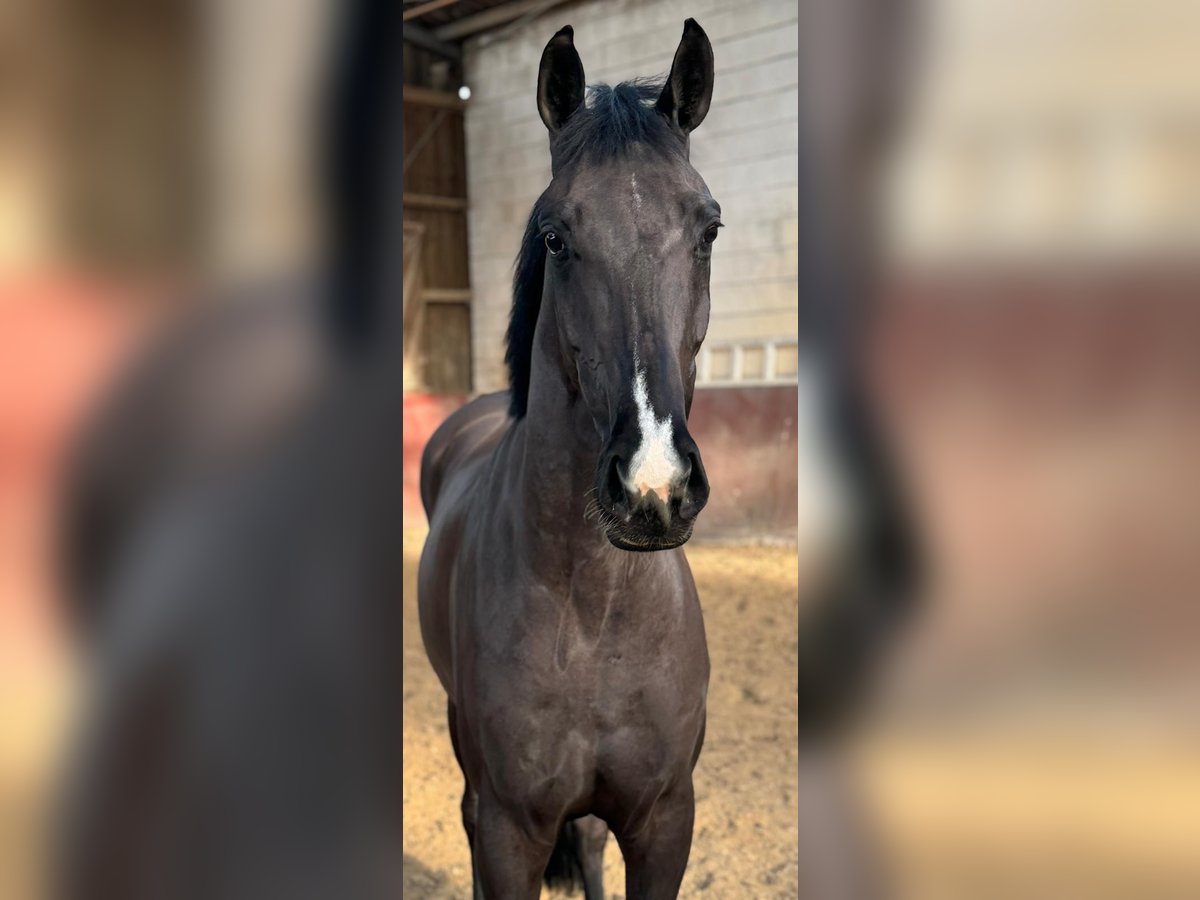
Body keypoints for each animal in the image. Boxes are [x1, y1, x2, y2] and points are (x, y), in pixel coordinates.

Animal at [420, 21, 715, 900]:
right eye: (556, 236)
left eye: (709, 229)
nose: (652, 488)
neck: (596, 613)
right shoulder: (510, 830)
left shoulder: (664, 822)